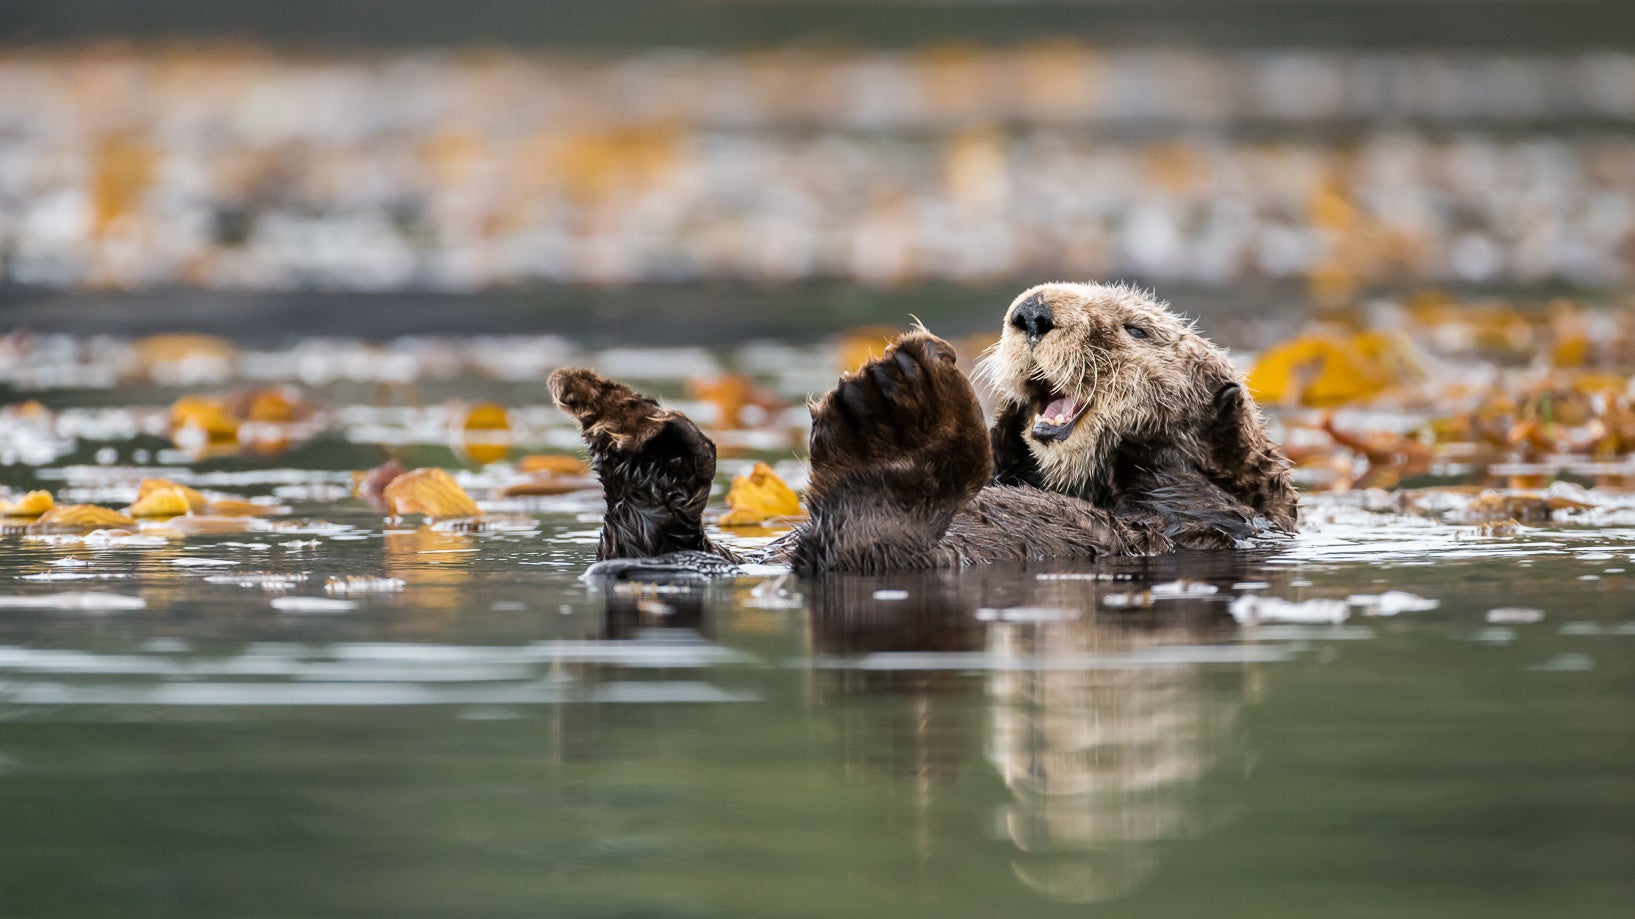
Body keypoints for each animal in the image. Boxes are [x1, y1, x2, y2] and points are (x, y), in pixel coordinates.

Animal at [549, 282, 1297, 575]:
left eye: (1137, 329)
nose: (1031, 312)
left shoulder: (1214, 515)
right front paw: (1010, 423)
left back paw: (891, 409)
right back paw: (630, 425)